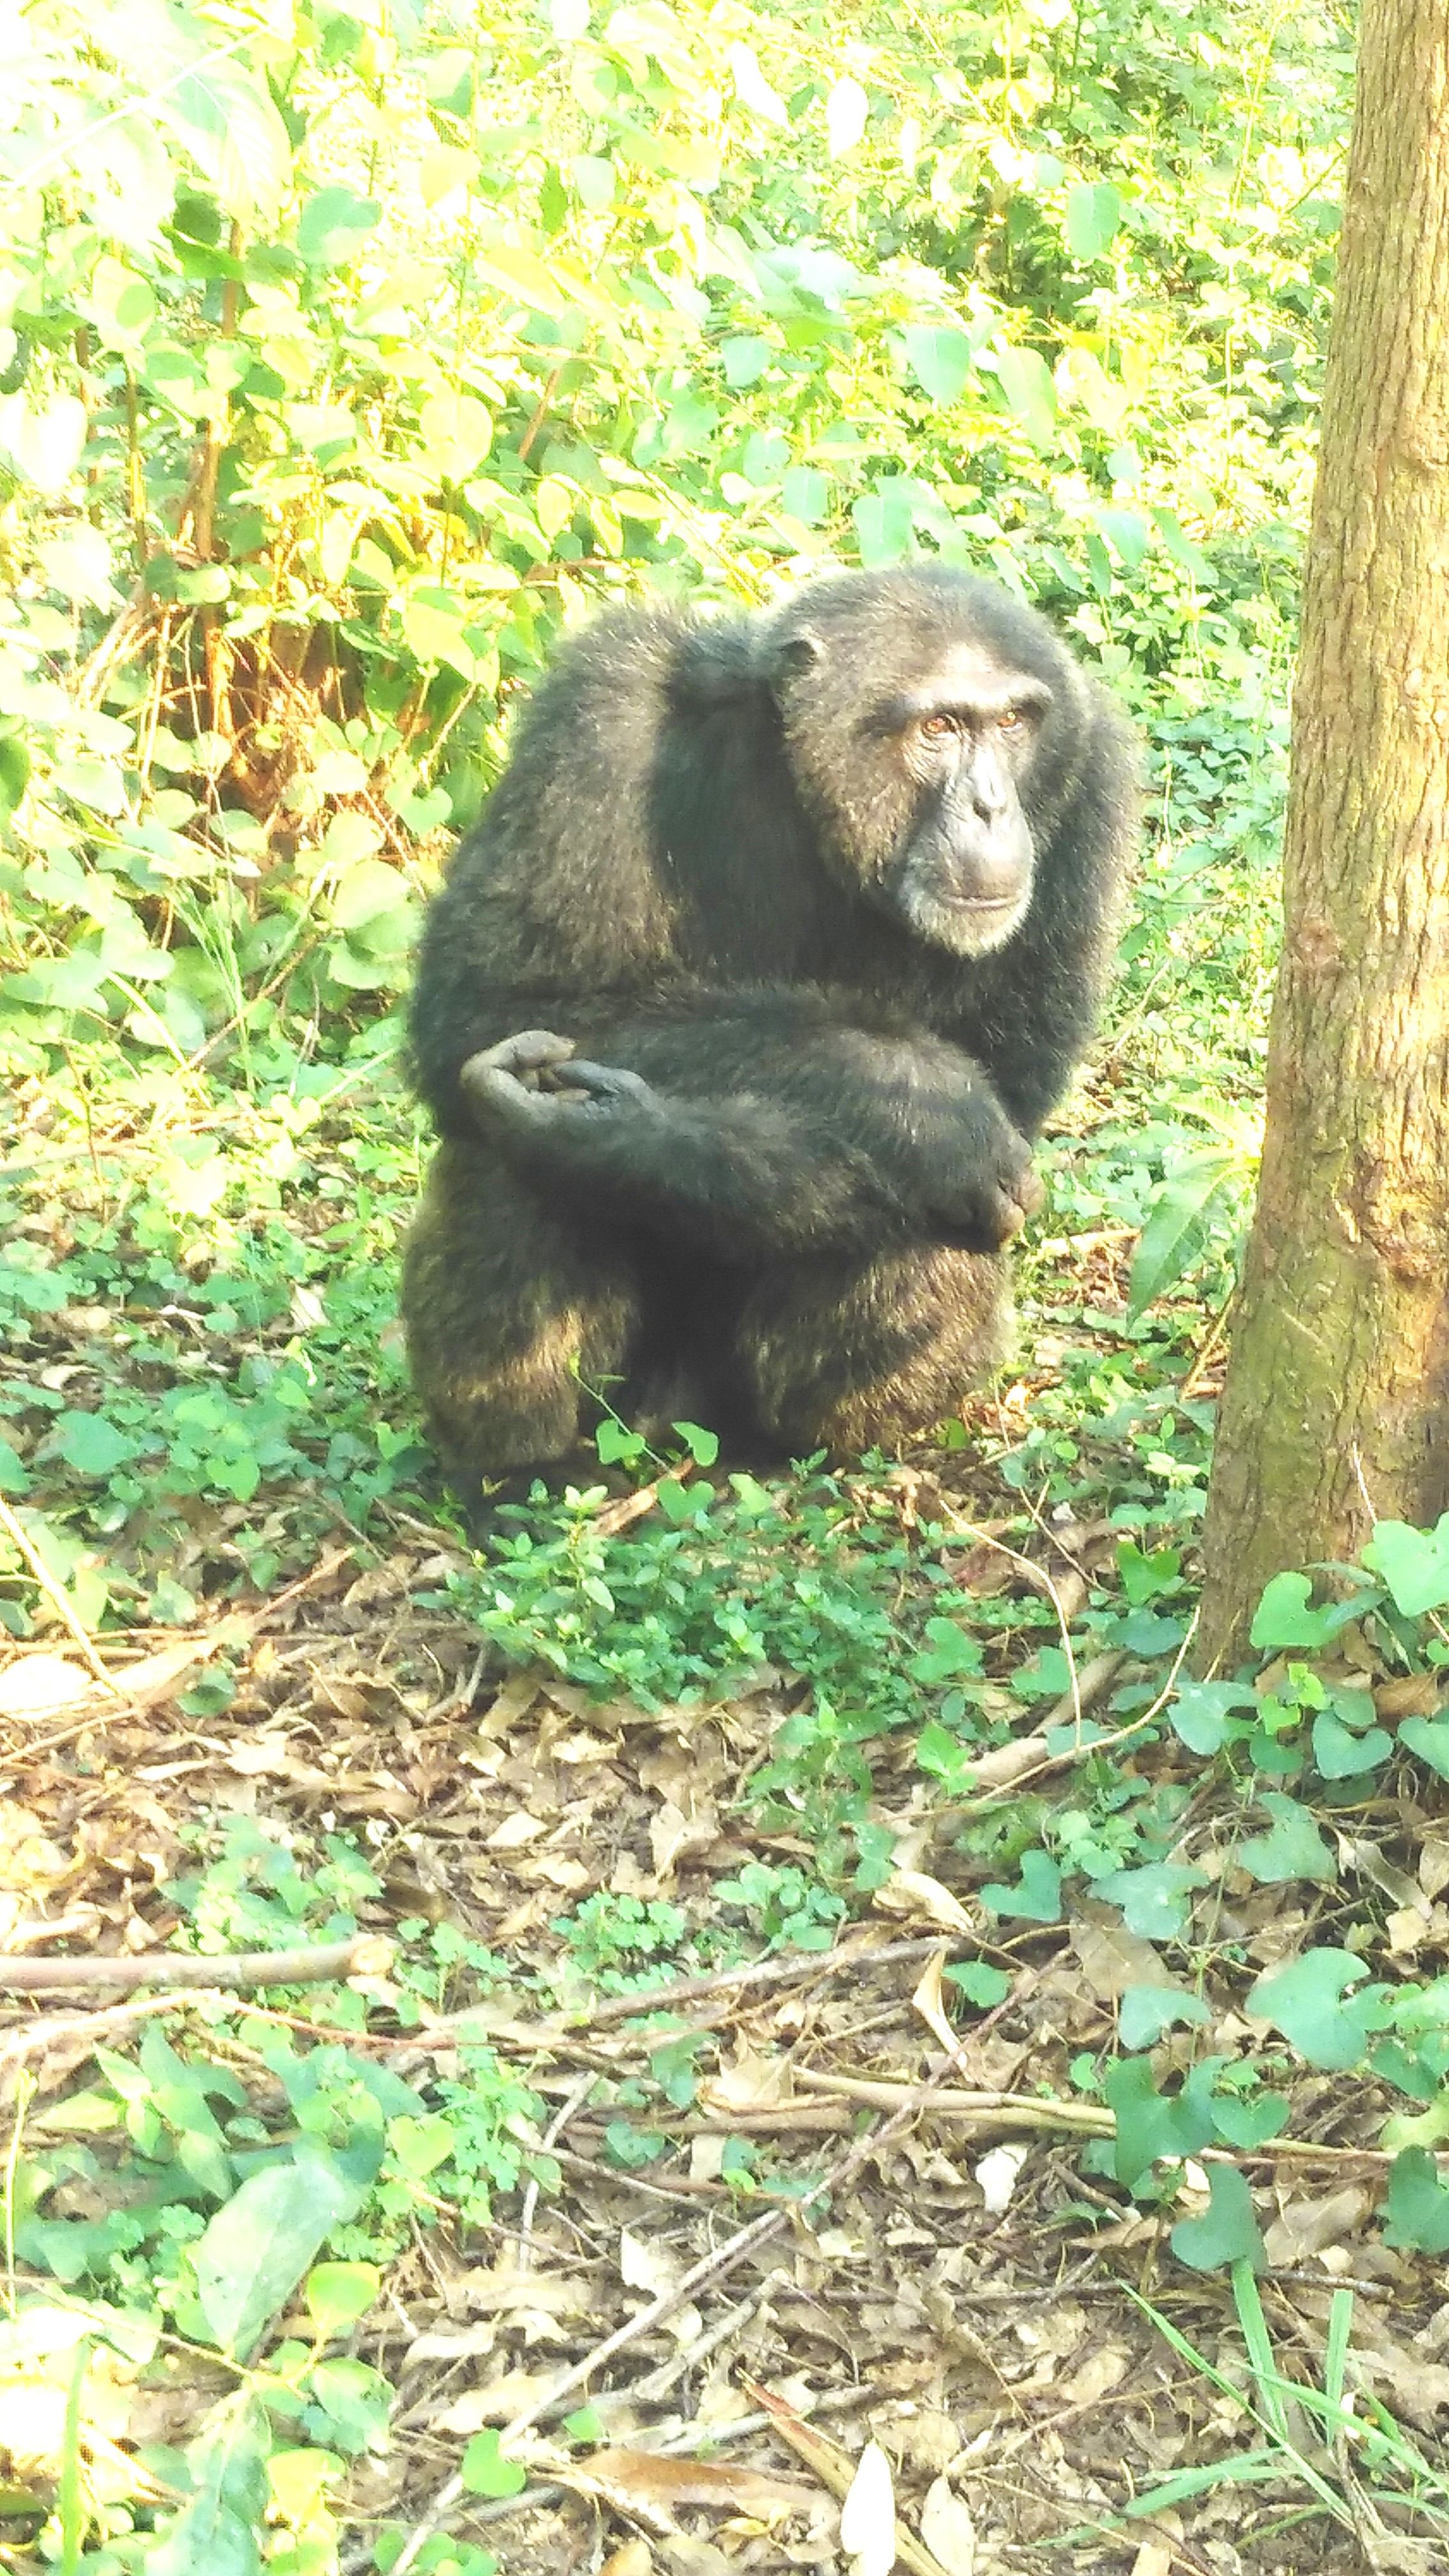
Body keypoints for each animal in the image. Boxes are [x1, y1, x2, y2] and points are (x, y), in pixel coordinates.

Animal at [401, 566, 1137, 1491]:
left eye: (1012, 724)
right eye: (939, 727)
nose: (990, 806)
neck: (815, 808)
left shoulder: (1093, 795)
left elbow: (1008, 1098)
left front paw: (623, 1129)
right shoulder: (600, 713)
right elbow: (489, 998)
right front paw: (912, 1100)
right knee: (498, 1120)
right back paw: (521, 1478)